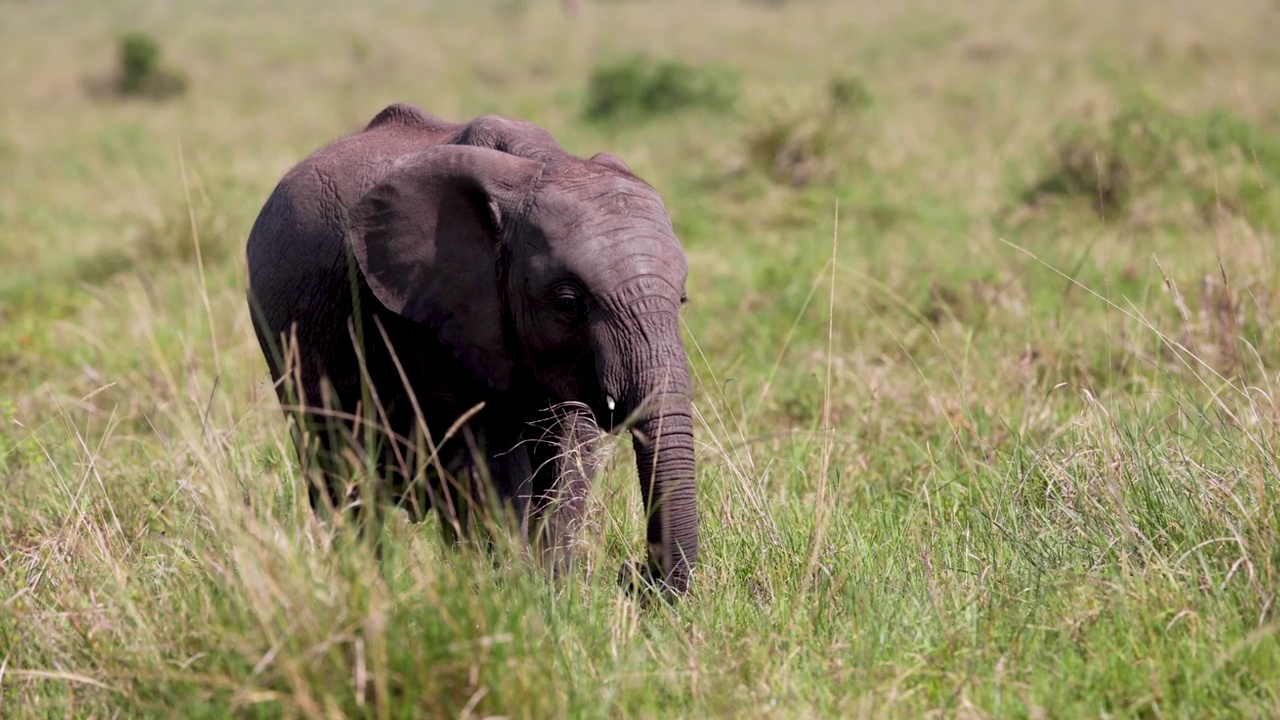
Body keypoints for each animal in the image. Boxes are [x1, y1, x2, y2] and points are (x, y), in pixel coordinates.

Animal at [240, 102, 701, 594]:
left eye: (682, 300)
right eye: (569, 302)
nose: (634, 575)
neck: (538, 166)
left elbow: (570, 452)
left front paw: (552, 591)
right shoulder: (430, 312)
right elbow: (490, 461)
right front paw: (515, 590)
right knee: (343, 479)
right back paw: (368, 582)